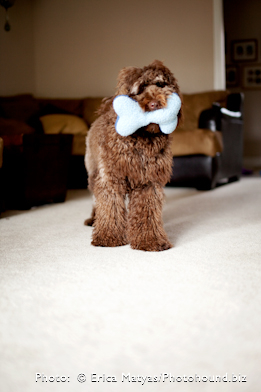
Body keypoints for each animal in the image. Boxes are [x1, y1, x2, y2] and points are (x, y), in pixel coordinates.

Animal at [83, 60, 181, 253]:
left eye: (160, 84)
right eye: (140, 88)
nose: (154, 104)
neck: (142, 137)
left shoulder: (148, 182)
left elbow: (147, 212)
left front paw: (150, 241)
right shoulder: (111, 178)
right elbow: (109, 206)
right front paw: (108, 237)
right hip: (93, 171)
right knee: (95, 199)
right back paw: (93, 218)